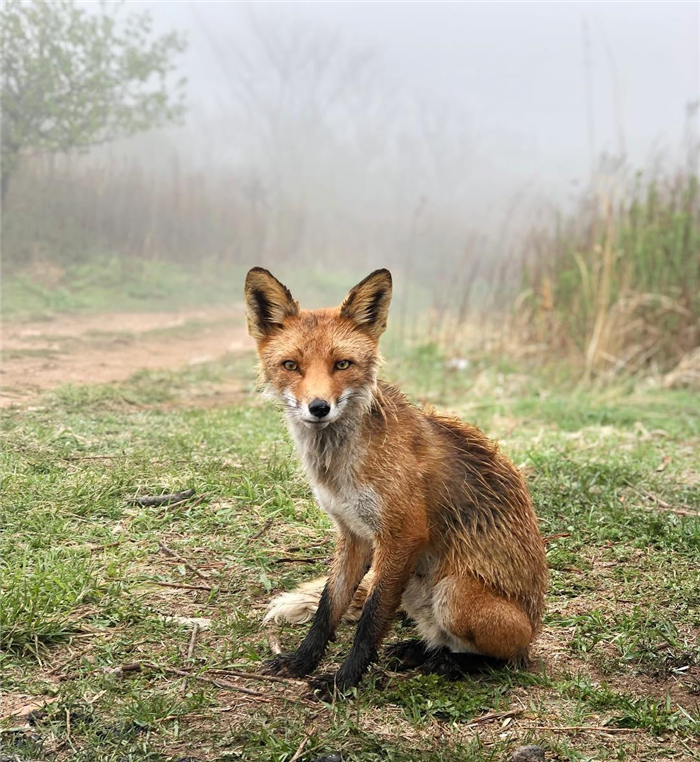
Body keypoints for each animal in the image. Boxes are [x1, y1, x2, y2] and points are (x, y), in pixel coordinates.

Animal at [243, 268, 548, 696]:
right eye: (291, 365)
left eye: (342, 364)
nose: (318, 408)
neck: (340, 469)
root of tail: (535, 627)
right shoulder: (354, 535)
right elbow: (327, 608)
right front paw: (302, 660)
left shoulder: (402, 534)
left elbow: (370, 621)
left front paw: (343, 682)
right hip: (418, 589)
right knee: (437, 638)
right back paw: (420, 651)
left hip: (454, 593)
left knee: (503, 658)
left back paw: (453, 664)